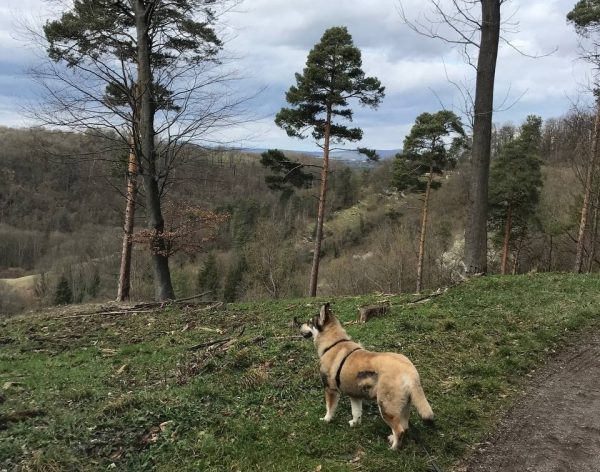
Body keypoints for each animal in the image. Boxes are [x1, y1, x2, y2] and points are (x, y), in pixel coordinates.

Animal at [296, 302, 434, 450]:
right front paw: (355, 423)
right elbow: (356, 412)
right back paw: (393, 439)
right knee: (405, 426)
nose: (298, 324)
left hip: (386, 407)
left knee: (399, 430)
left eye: (310, 322)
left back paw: (393, 448)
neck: (334, 343)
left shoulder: (330, 389)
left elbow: (330, 408)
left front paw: (326, 419)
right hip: (403, 407)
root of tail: (409, 370)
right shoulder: (355, 396)